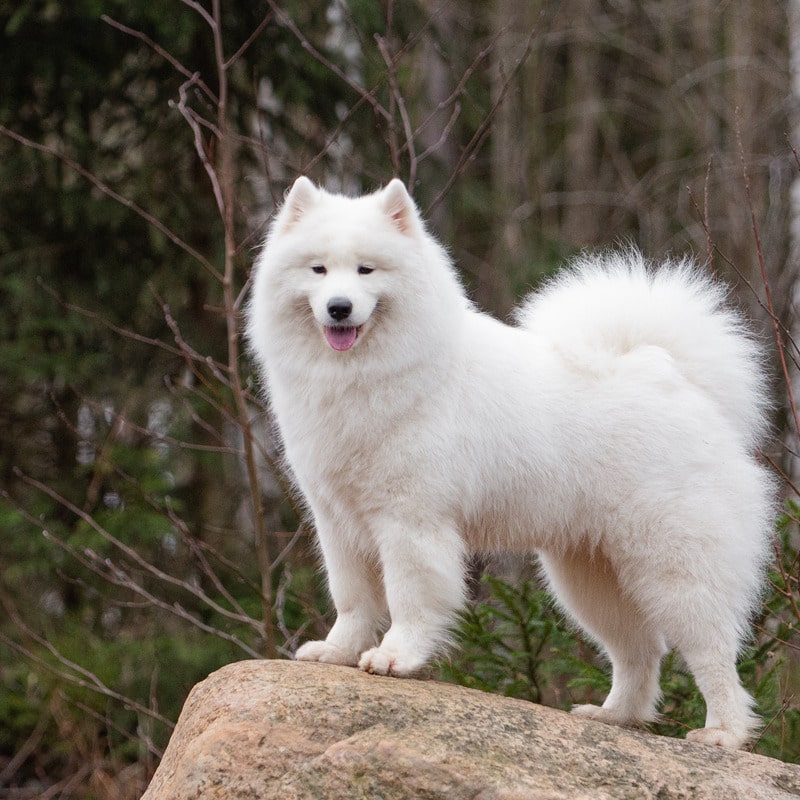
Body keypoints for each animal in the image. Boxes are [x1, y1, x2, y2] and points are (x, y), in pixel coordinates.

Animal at [248, 177, 776, 752]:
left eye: (367, 270)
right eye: (318, 270)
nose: (339, 308)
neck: (364, 377)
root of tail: (674, 375)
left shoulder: (410, 521)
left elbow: (409, 597)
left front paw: (395, 657)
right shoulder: (338, 521)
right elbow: (352, 600)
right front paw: (338, 652)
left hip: (675, 569)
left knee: (712, 652)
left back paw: (723, 733)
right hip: (591, 580)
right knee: (639, 652)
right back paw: (614, 716)